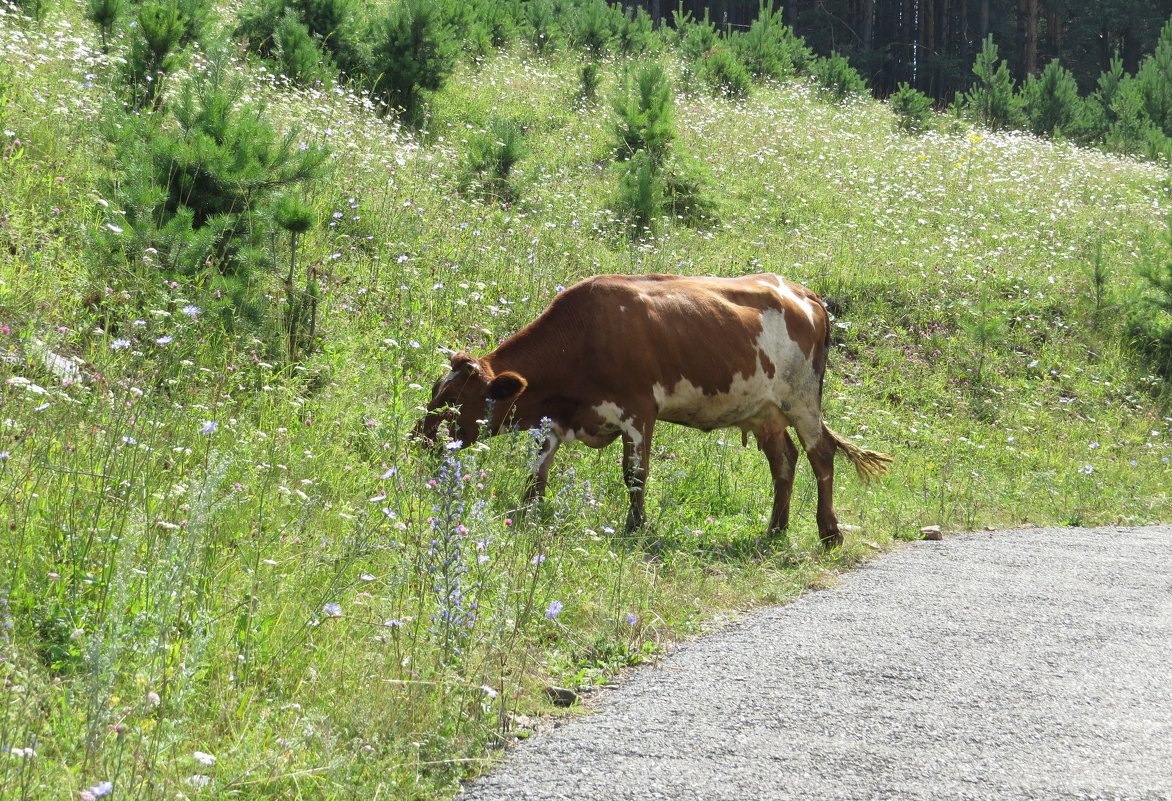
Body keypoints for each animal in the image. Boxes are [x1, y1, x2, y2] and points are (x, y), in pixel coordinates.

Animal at [417, 272, 890, 548]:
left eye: (456, 402)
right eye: (436, 392)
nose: (420, 438)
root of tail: (803, 292)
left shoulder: (639, 411)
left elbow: (634, 474)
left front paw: (636, 527)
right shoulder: (559, 418)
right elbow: (538, 473)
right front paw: (527, 513)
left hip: (802, 399)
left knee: (820, 455)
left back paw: (829, 533)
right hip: (765, 411)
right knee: (784, 462)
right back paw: (775, 529)